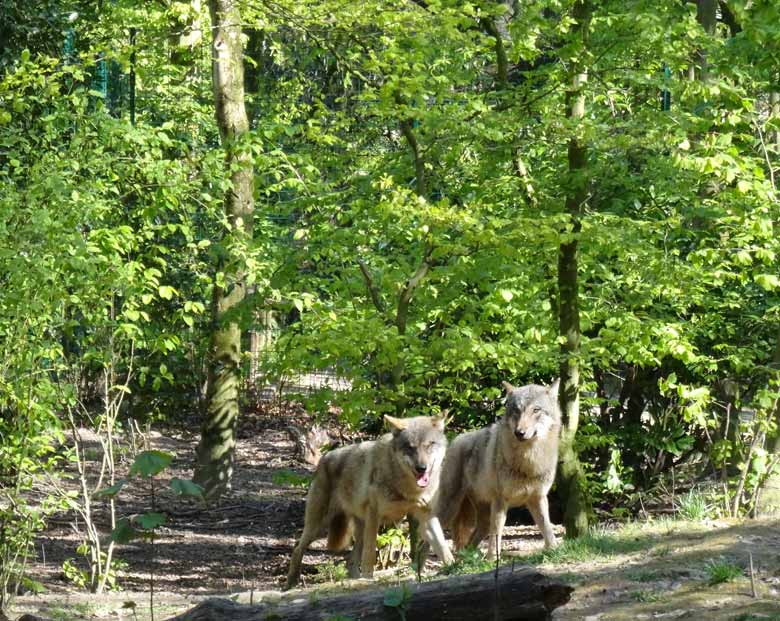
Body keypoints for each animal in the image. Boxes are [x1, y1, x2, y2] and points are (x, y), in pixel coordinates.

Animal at [284, 412, 454, 588]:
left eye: (430, 444)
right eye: (410, 447)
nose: (421, 468)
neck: (407, 487)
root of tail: (323, 458)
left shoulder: (427, 517)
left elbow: (443, 546)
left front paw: (455, 567)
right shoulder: (374, 515)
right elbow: (370, 554)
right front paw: (368, 579)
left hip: (356, 531)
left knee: (350, 562)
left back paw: (353, 580)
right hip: (320, 527)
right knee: (297, 548)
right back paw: (291, 583)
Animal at [432, 380, 560, 560]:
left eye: (536, 410)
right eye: (516, 410)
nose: (519, 432)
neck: (528, 461)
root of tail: (457, 439)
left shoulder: (538, 497)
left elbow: (546, 527)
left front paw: (554, 549)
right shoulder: (501, 500)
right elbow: (498, 532)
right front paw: (493, 557)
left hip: (482, 516)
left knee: (473, 539)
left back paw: (467, 558)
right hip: (449, 508)